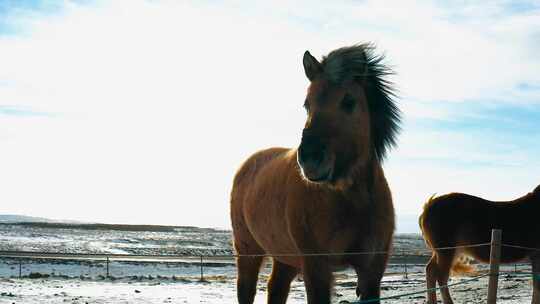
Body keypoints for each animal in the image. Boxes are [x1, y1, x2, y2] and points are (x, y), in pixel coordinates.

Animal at [228, 43, 400, 304]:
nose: (310, 158)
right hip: (248, 251)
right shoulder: (315, 266)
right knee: (246, 289)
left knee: (276, 288)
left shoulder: (372, 271)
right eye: (307, 104)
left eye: (348, 101)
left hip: (285, 257)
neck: (351, 201)